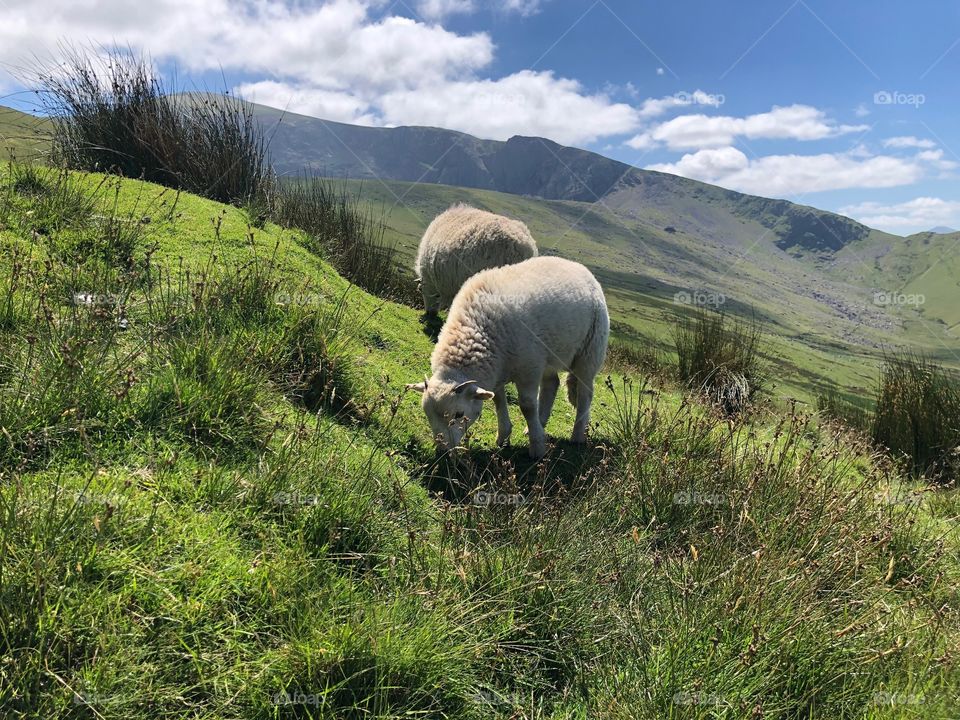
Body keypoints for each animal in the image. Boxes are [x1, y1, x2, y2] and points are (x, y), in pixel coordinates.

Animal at [407, 256, 609, 459]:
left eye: (458, 414)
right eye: (427, 414)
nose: (443, 451)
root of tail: (577, 266)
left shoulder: (529, 368)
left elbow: (527, 406)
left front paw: (537, 447)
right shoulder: (499, 368)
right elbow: (498, 400)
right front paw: (504, 436)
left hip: (590, 351)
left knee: (585, 393)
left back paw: (577, 435)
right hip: (549, 357)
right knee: (551, 385)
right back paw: (539, 423)